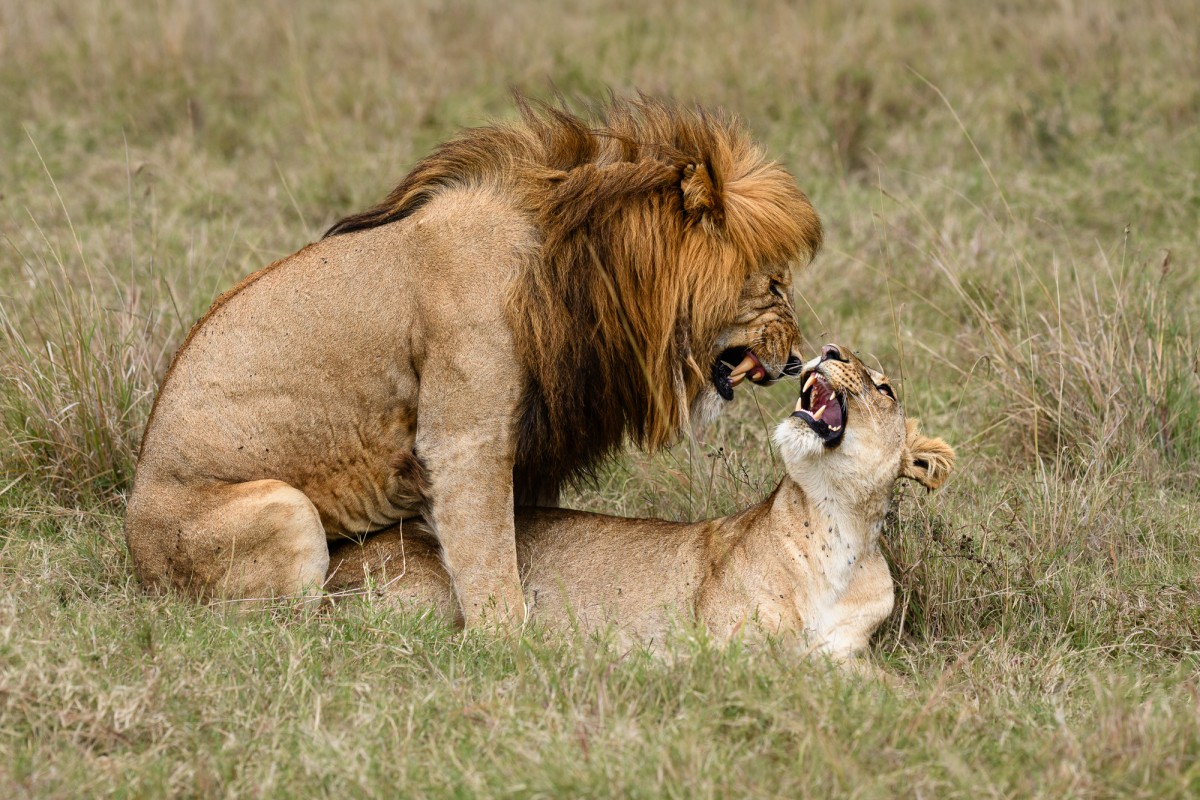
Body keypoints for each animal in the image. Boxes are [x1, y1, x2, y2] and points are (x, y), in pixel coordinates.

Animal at [129, 97, 825, 623]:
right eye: (775, 286)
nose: (797, 360)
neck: (585, 269)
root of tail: (135, 555)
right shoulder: (465, 436)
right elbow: (488, 553)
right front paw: (510, 644)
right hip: (283, 509)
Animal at [326, 347, 955, 662]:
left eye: (885, 388)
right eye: (838, 351)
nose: (828, 350)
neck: (836, 522)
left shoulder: (844, 655)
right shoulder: (727, 645)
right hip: (429, 591)